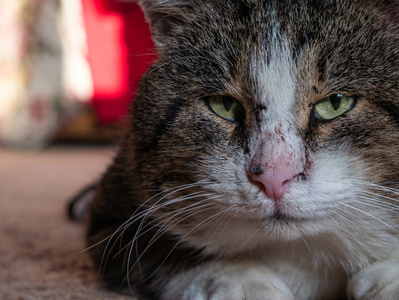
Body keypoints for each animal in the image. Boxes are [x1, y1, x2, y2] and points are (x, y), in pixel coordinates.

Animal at [86, 1, 399, 298]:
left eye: (336, 102)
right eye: (224, 105)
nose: (274, 177)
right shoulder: (114, 217)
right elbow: (170, 248)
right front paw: (243, 282)